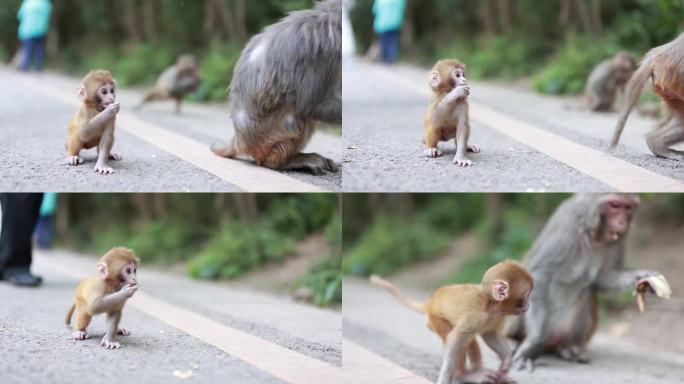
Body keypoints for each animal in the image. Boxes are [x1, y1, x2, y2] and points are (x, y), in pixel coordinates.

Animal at [211, 0, 342, 174]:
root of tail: (239, 138)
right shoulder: (322, 53)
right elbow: (313, 105)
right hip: (267, 135)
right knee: (295, 115)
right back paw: (287, 162)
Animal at [368, 260, 536, 382]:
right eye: (526, 296)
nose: (528, 305)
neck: (490, 304)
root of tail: (431, 302)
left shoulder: (498, 316)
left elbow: (490, 336)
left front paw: (506, 361)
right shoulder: (475, 316)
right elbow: (456, 340)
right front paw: (446, 377)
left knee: (470, 340)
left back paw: (478, 372)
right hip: (435, 320)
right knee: (460, 339)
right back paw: (465, 375)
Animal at [504, 194, 660, 370]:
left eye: (627, 208)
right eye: (615, 205)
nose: (623, 222)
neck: (595, 234)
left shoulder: (619, 238)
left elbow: (602, 278)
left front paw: (643, 279)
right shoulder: (568, 224)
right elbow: (541, 274)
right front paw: (533, 342)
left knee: (586, 291)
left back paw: (568, 348)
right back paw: (513, 340)